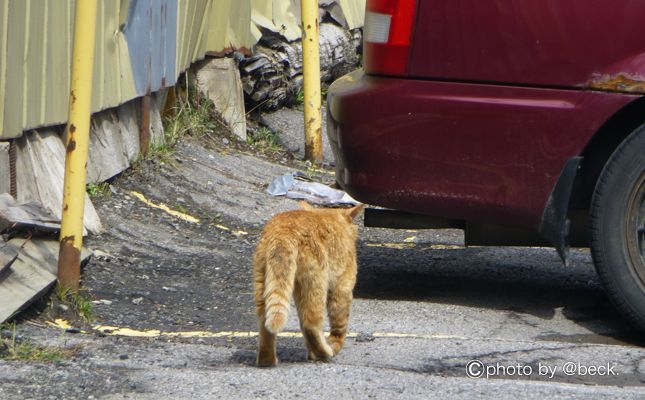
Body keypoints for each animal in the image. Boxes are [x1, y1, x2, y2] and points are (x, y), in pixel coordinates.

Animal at [252, 202, 362, 368]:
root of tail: (283, 232)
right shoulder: (342, 284)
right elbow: (339, 324)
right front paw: (334, 344)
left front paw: (312, 354)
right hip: (315, 282)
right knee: (310, 323)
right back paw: (325, 352)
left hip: (264, 280)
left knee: (265, 322)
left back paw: (267, 360)